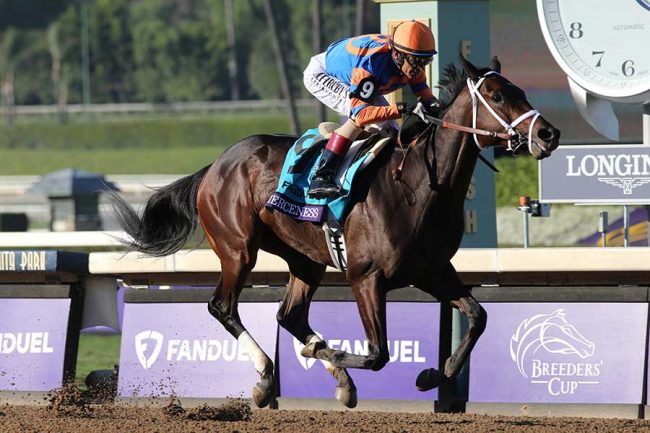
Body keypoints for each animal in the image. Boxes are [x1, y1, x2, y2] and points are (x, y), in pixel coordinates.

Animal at [110, 56, 560, 409]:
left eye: (521, 90)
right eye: (498, 96)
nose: (548, 133)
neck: (418, 187)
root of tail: (215, 165)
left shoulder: (432, 270)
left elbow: (478, 316)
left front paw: (434, 374)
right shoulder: (366, 277)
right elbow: (378, 353)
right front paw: (326, 352)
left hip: (304, 259)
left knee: (289, 314)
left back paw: (334, 378)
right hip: (238, 250)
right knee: (223, 306)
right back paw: (267, 373)